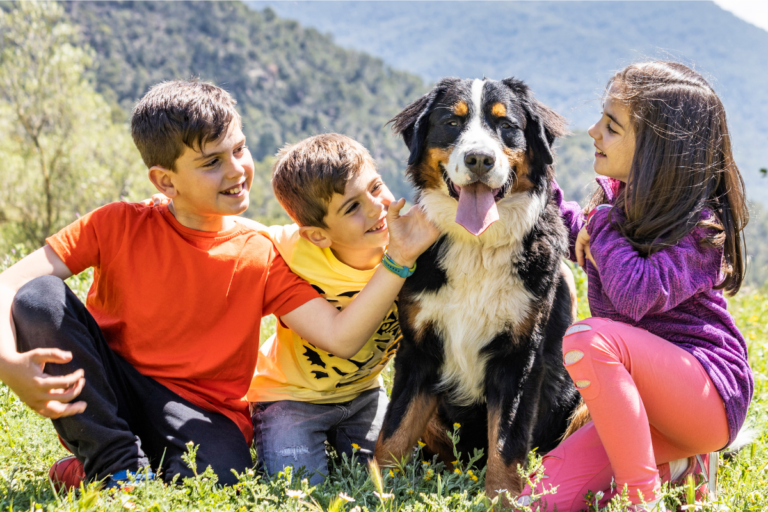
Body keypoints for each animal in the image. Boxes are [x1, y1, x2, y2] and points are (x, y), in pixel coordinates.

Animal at [376, 77, 580, 500]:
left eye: (506, 125)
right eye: (452, 123)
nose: (480, 159)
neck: (478, 245)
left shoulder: (520, 355)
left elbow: (506, 442)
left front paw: (501, 499)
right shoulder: (419, 350)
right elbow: (393, 432)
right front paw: (376, 488)